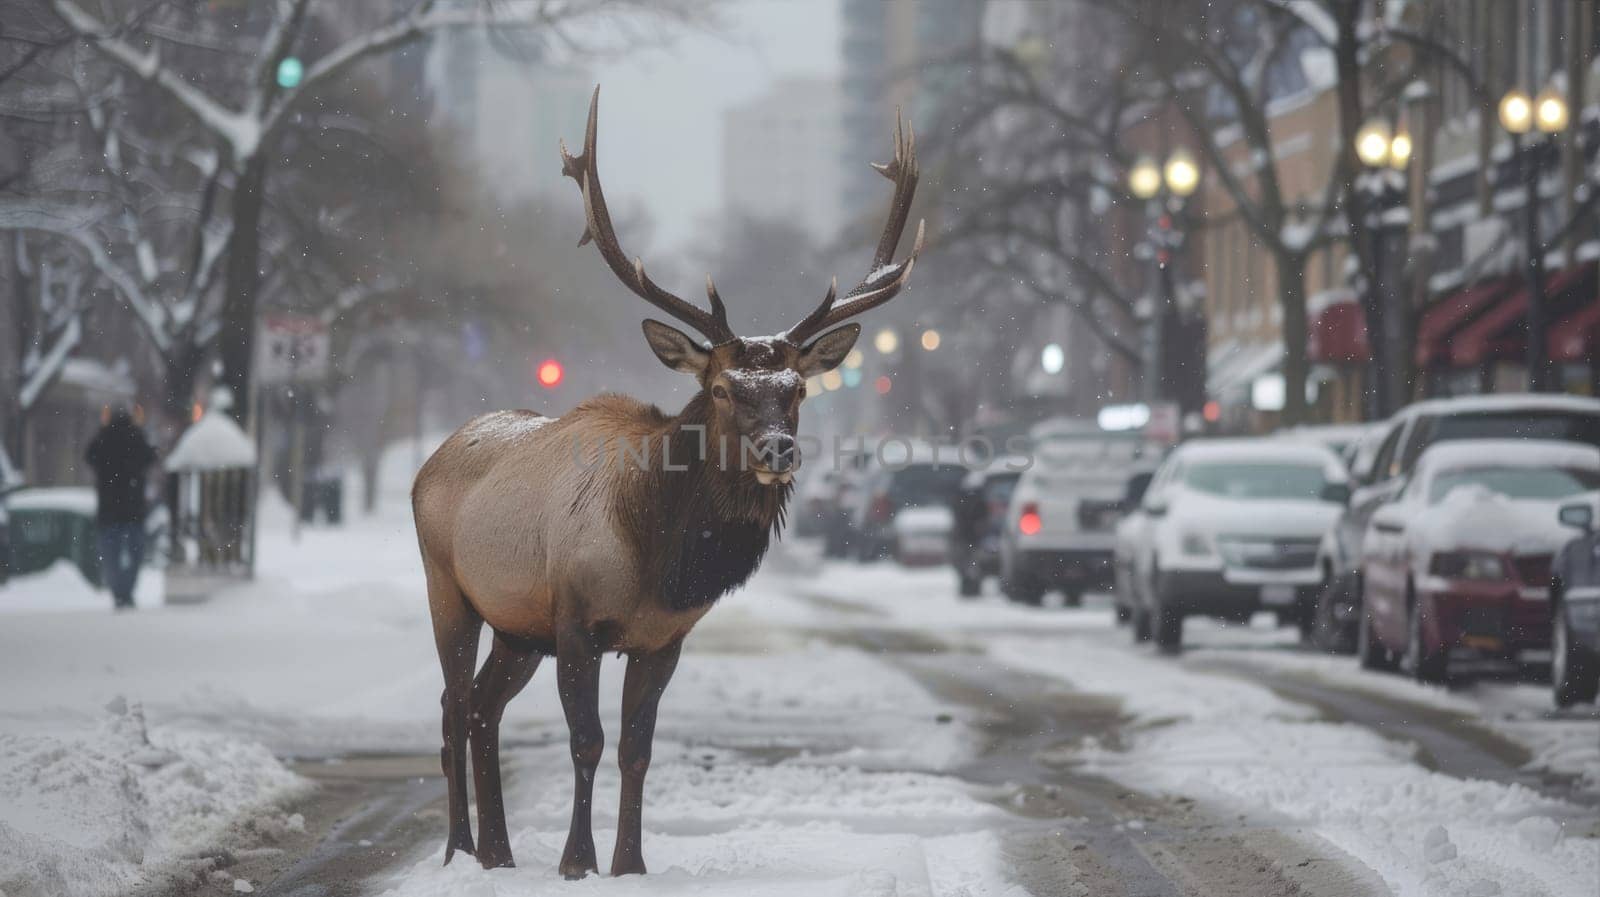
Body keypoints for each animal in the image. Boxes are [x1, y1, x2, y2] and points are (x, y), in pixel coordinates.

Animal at [412, 85, 921, 876]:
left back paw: (498, 851)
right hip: (450, 589)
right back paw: (459, 848)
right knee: (454, 704)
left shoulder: (664, 639)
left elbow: (637, 750)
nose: (779, 448)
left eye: (796, 389)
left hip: (516, 625)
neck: (658, 559)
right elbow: (586, 742)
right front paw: (577, 862)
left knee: (484, 706)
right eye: (721, 388)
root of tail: (430, 460)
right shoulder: (576, 619)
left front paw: (630, 863)